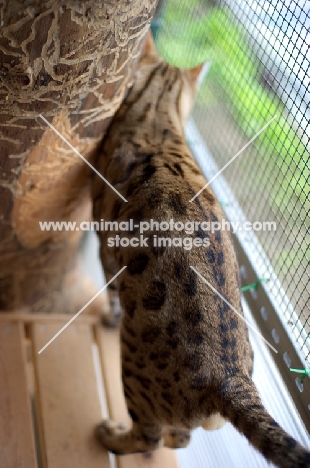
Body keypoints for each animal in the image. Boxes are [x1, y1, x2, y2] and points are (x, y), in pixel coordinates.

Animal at [92, 33, 310, 468]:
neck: (157, 116)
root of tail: (230, 381)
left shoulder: (105, 247)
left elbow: (110, 291)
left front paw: (107, 314)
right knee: (181, 437)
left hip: (133, 372)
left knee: (150, 436)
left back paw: (111, 435)